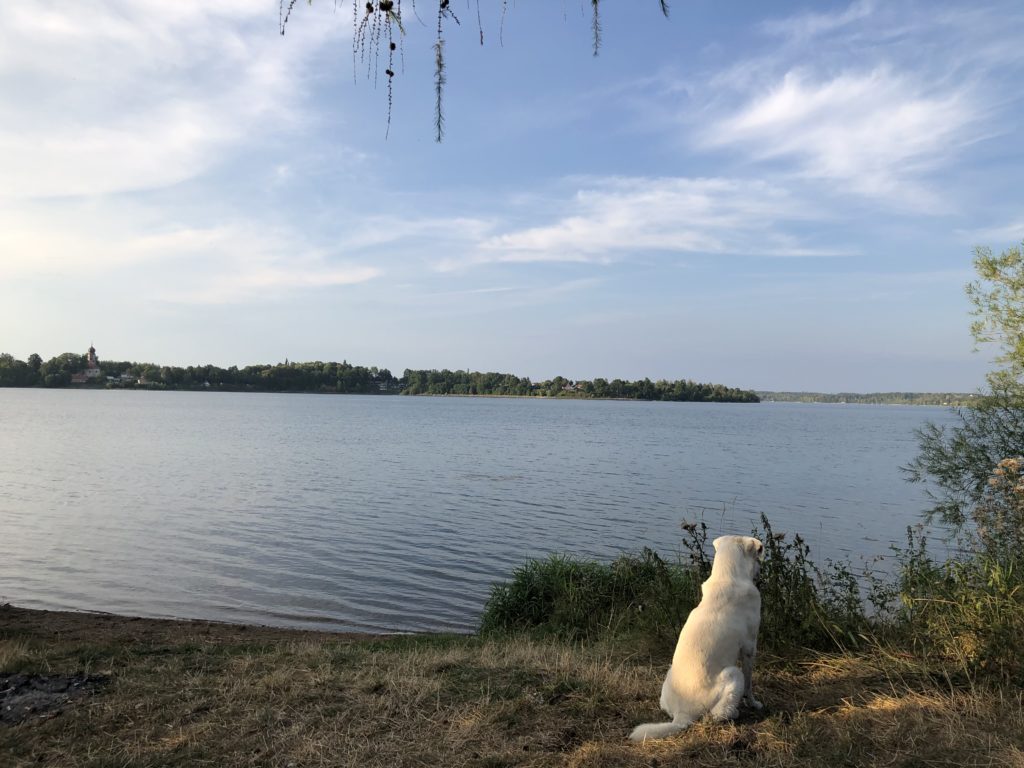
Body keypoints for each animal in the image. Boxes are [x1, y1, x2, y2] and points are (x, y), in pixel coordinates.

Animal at [626, 532, 765, 741]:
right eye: (757, 556)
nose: (761, 570)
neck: (727, 576)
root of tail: (682, 715)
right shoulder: (750, 647)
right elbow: (750, 684)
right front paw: (754, 703)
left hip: (668, 678)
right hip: (733, 674)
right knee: (717, 714)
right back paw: (734, 713)